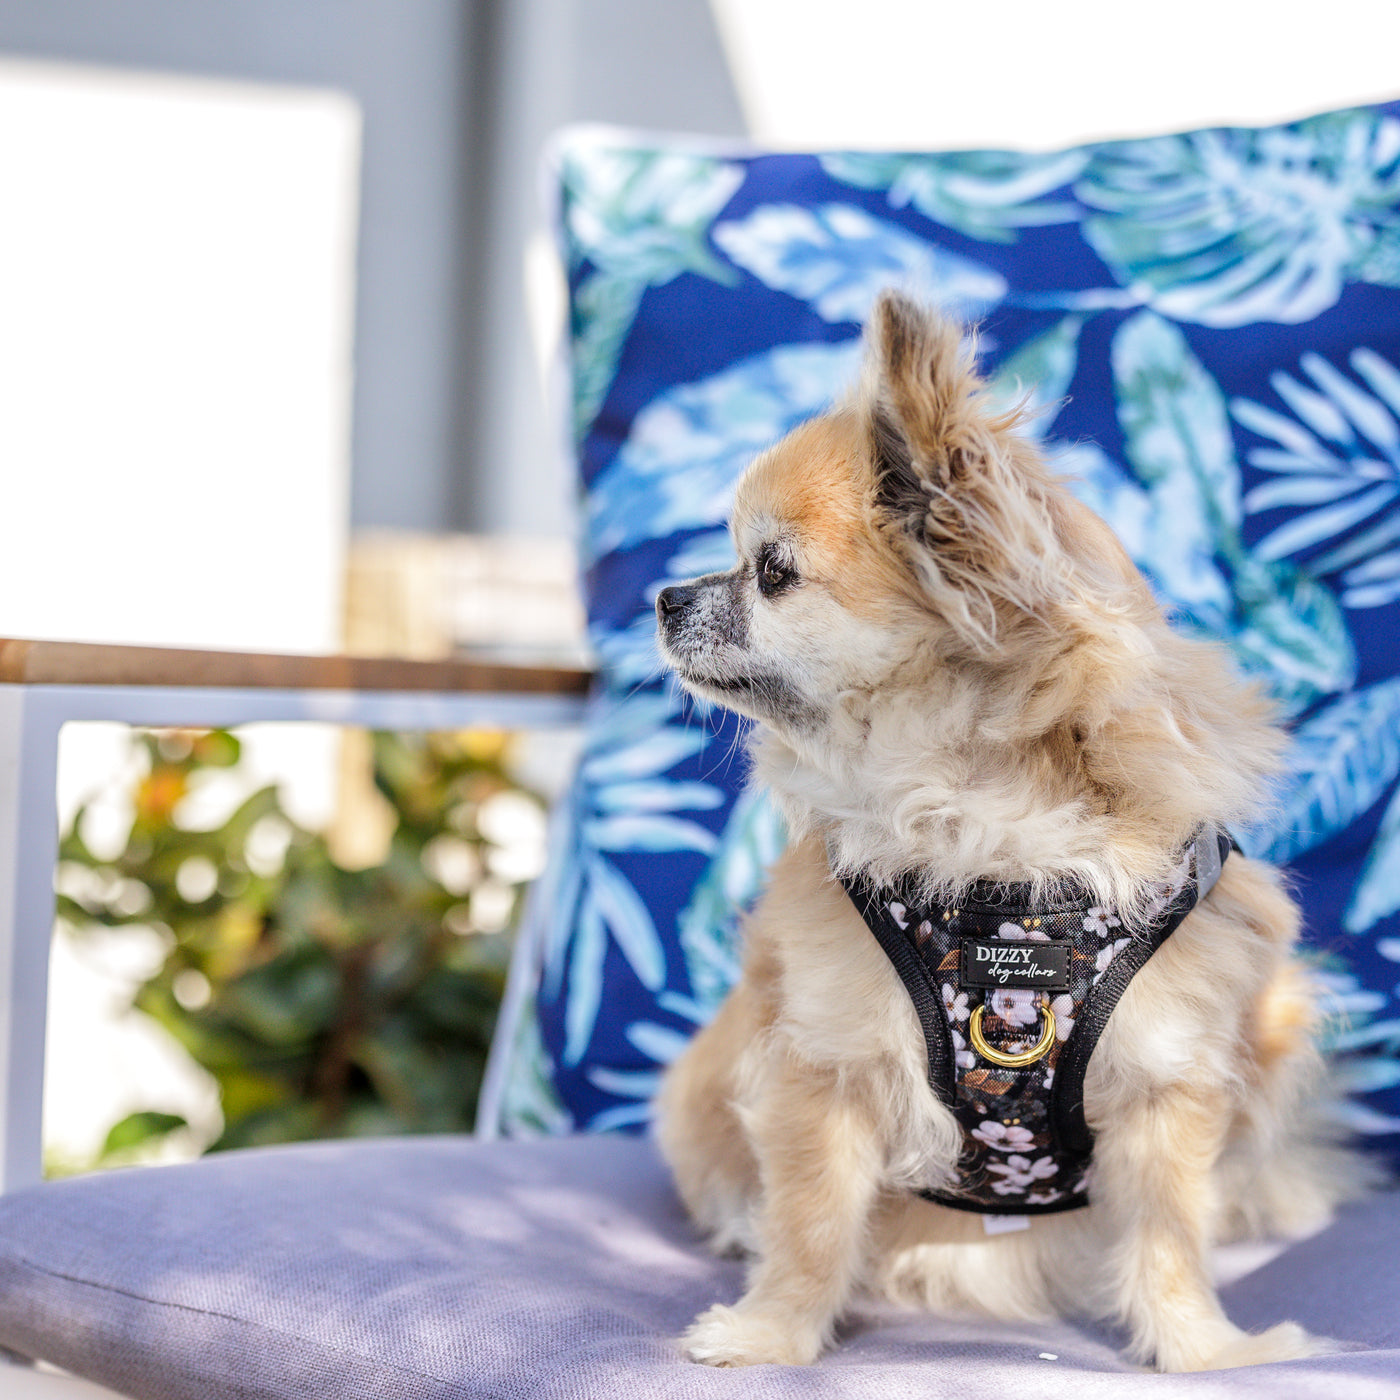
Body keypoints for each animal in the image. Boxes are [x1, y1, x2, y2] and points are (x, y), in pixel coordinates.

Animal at [649, 289, 1360, 1372]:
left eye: (770, 572)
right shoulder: (825, 1062)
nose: (664, 595)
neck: (987, 839)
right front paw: (773, 1330)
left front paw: (1205, 1350)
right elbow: (810, 1222)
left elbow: (1169, 1237)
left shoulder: (1170, 1079)